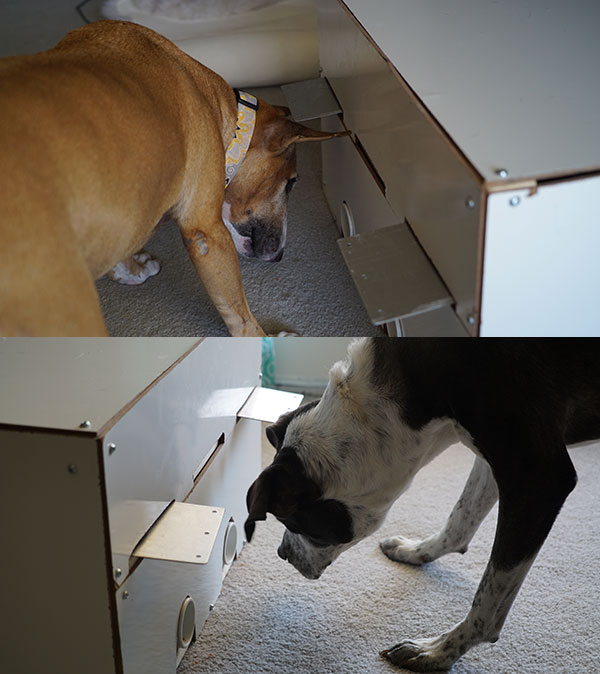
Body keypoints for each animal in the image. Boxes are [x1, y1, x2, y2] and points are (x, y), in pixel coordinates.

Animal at [0, 19, 344, 334]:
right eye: (292, 182)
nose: (280, 256)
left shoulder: (123, 216)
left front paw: (134, 270)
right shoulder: (206, 233)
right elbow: (239, 312)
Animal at [245, 338, 600, 668]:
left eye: (294, 523)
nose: (282, 552)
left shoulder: (537, 479)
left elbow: (487, 605)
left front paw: (437, 652)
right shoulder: (494, 460)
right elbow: (460, 520)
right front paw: (416, 552)